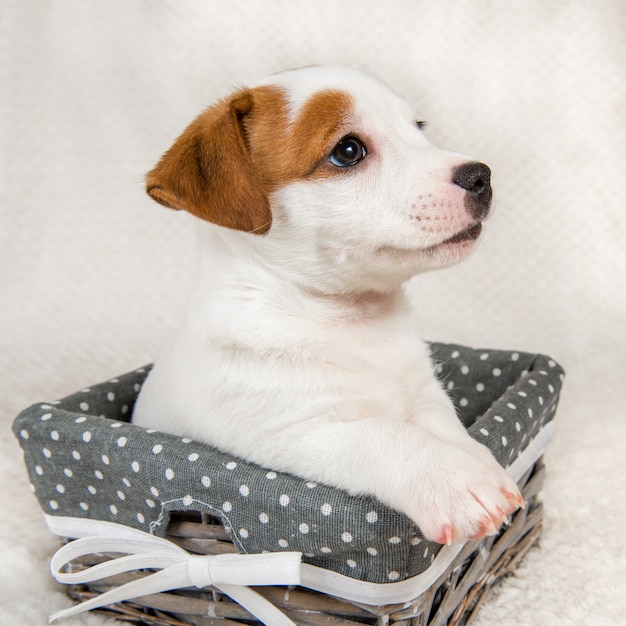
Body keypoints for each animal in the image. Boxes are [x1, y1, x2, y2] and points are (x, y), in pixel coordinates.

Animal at [134, 67, 524, 540]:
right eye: (348, 151)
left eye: (418, 128)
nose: (480, 176)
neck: (351, 319)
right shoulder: (295, 433)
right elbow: (386, 434)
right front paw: (454, 478)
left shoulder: (424, 393)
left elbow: (443, 426)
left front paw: (478, 460)